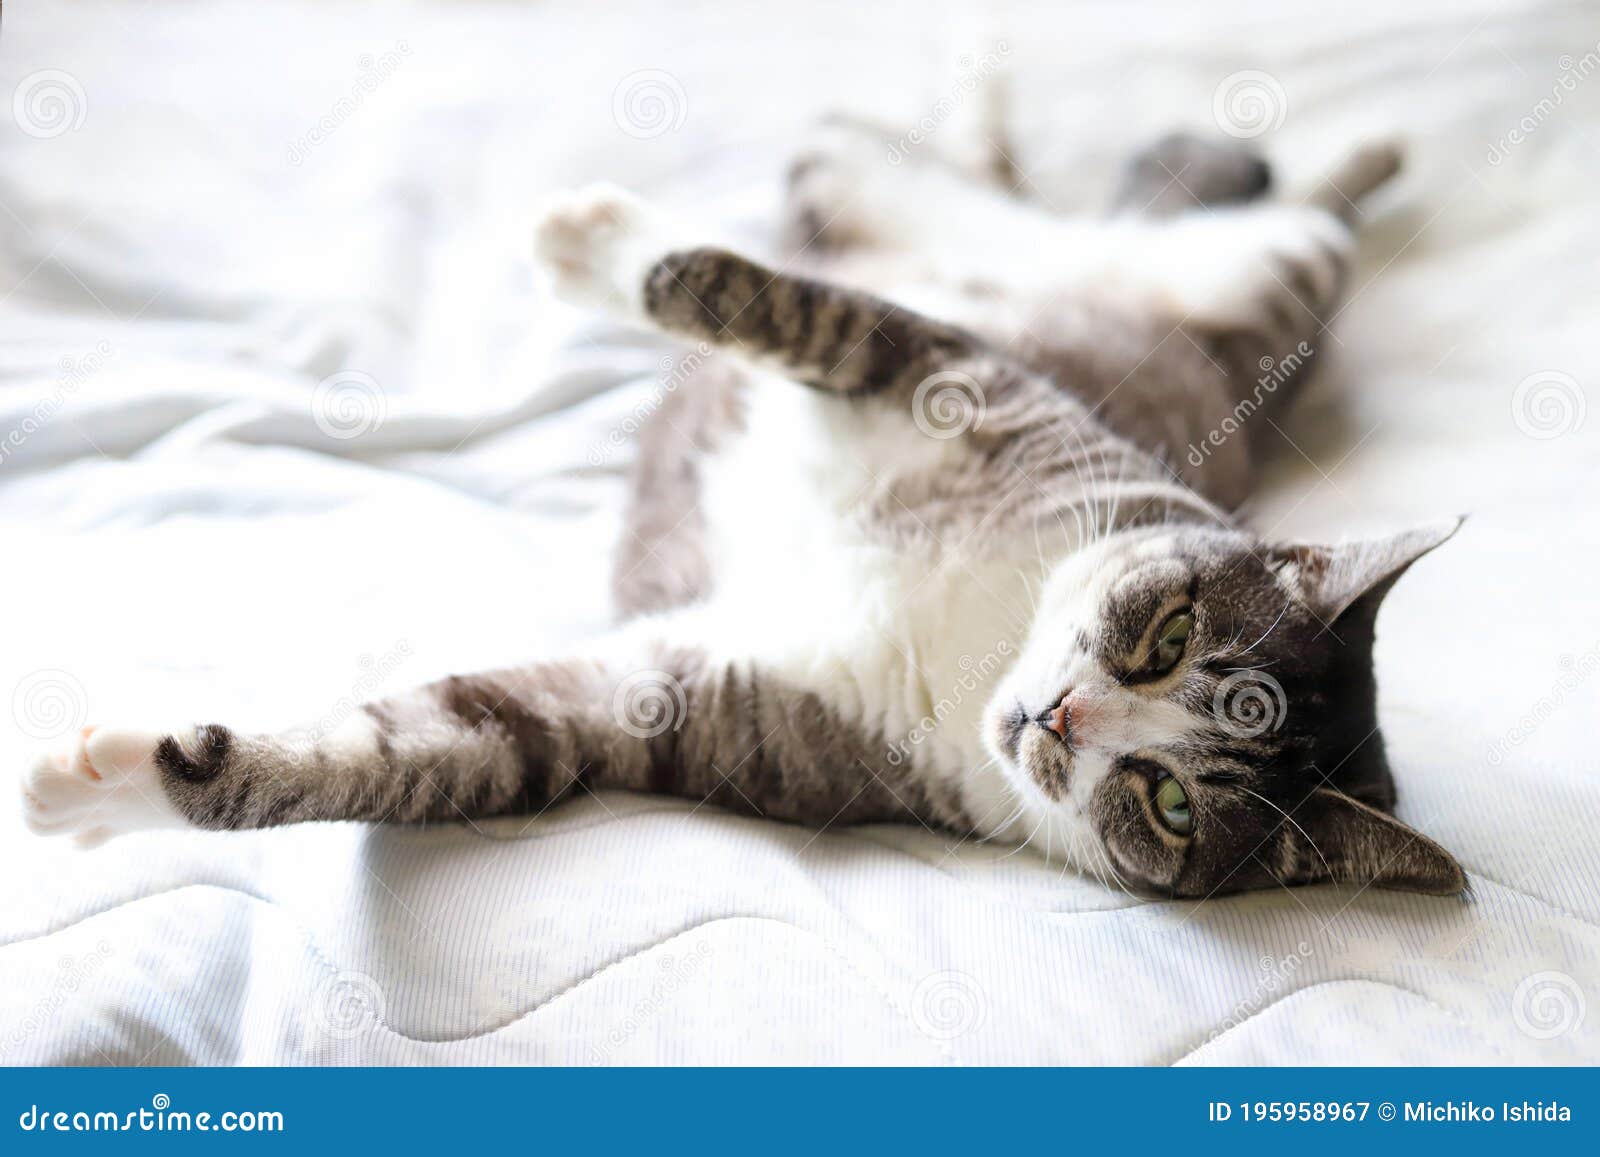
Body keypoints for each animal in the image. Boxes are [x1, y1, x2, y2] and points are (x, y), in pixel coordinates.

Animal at [18, 122, 1465, 902]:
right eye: (1165, 638)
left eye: (1168, 804)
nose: (1059, 719)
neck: (981, 642)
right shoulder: (947, 372)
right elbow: (747, 294)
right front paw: (592, 244)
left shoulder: (679, 705)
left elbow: (435, 743)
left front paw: (111, 791)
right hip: (1107, 239)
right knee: (997, 173)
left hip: (1267, 280)